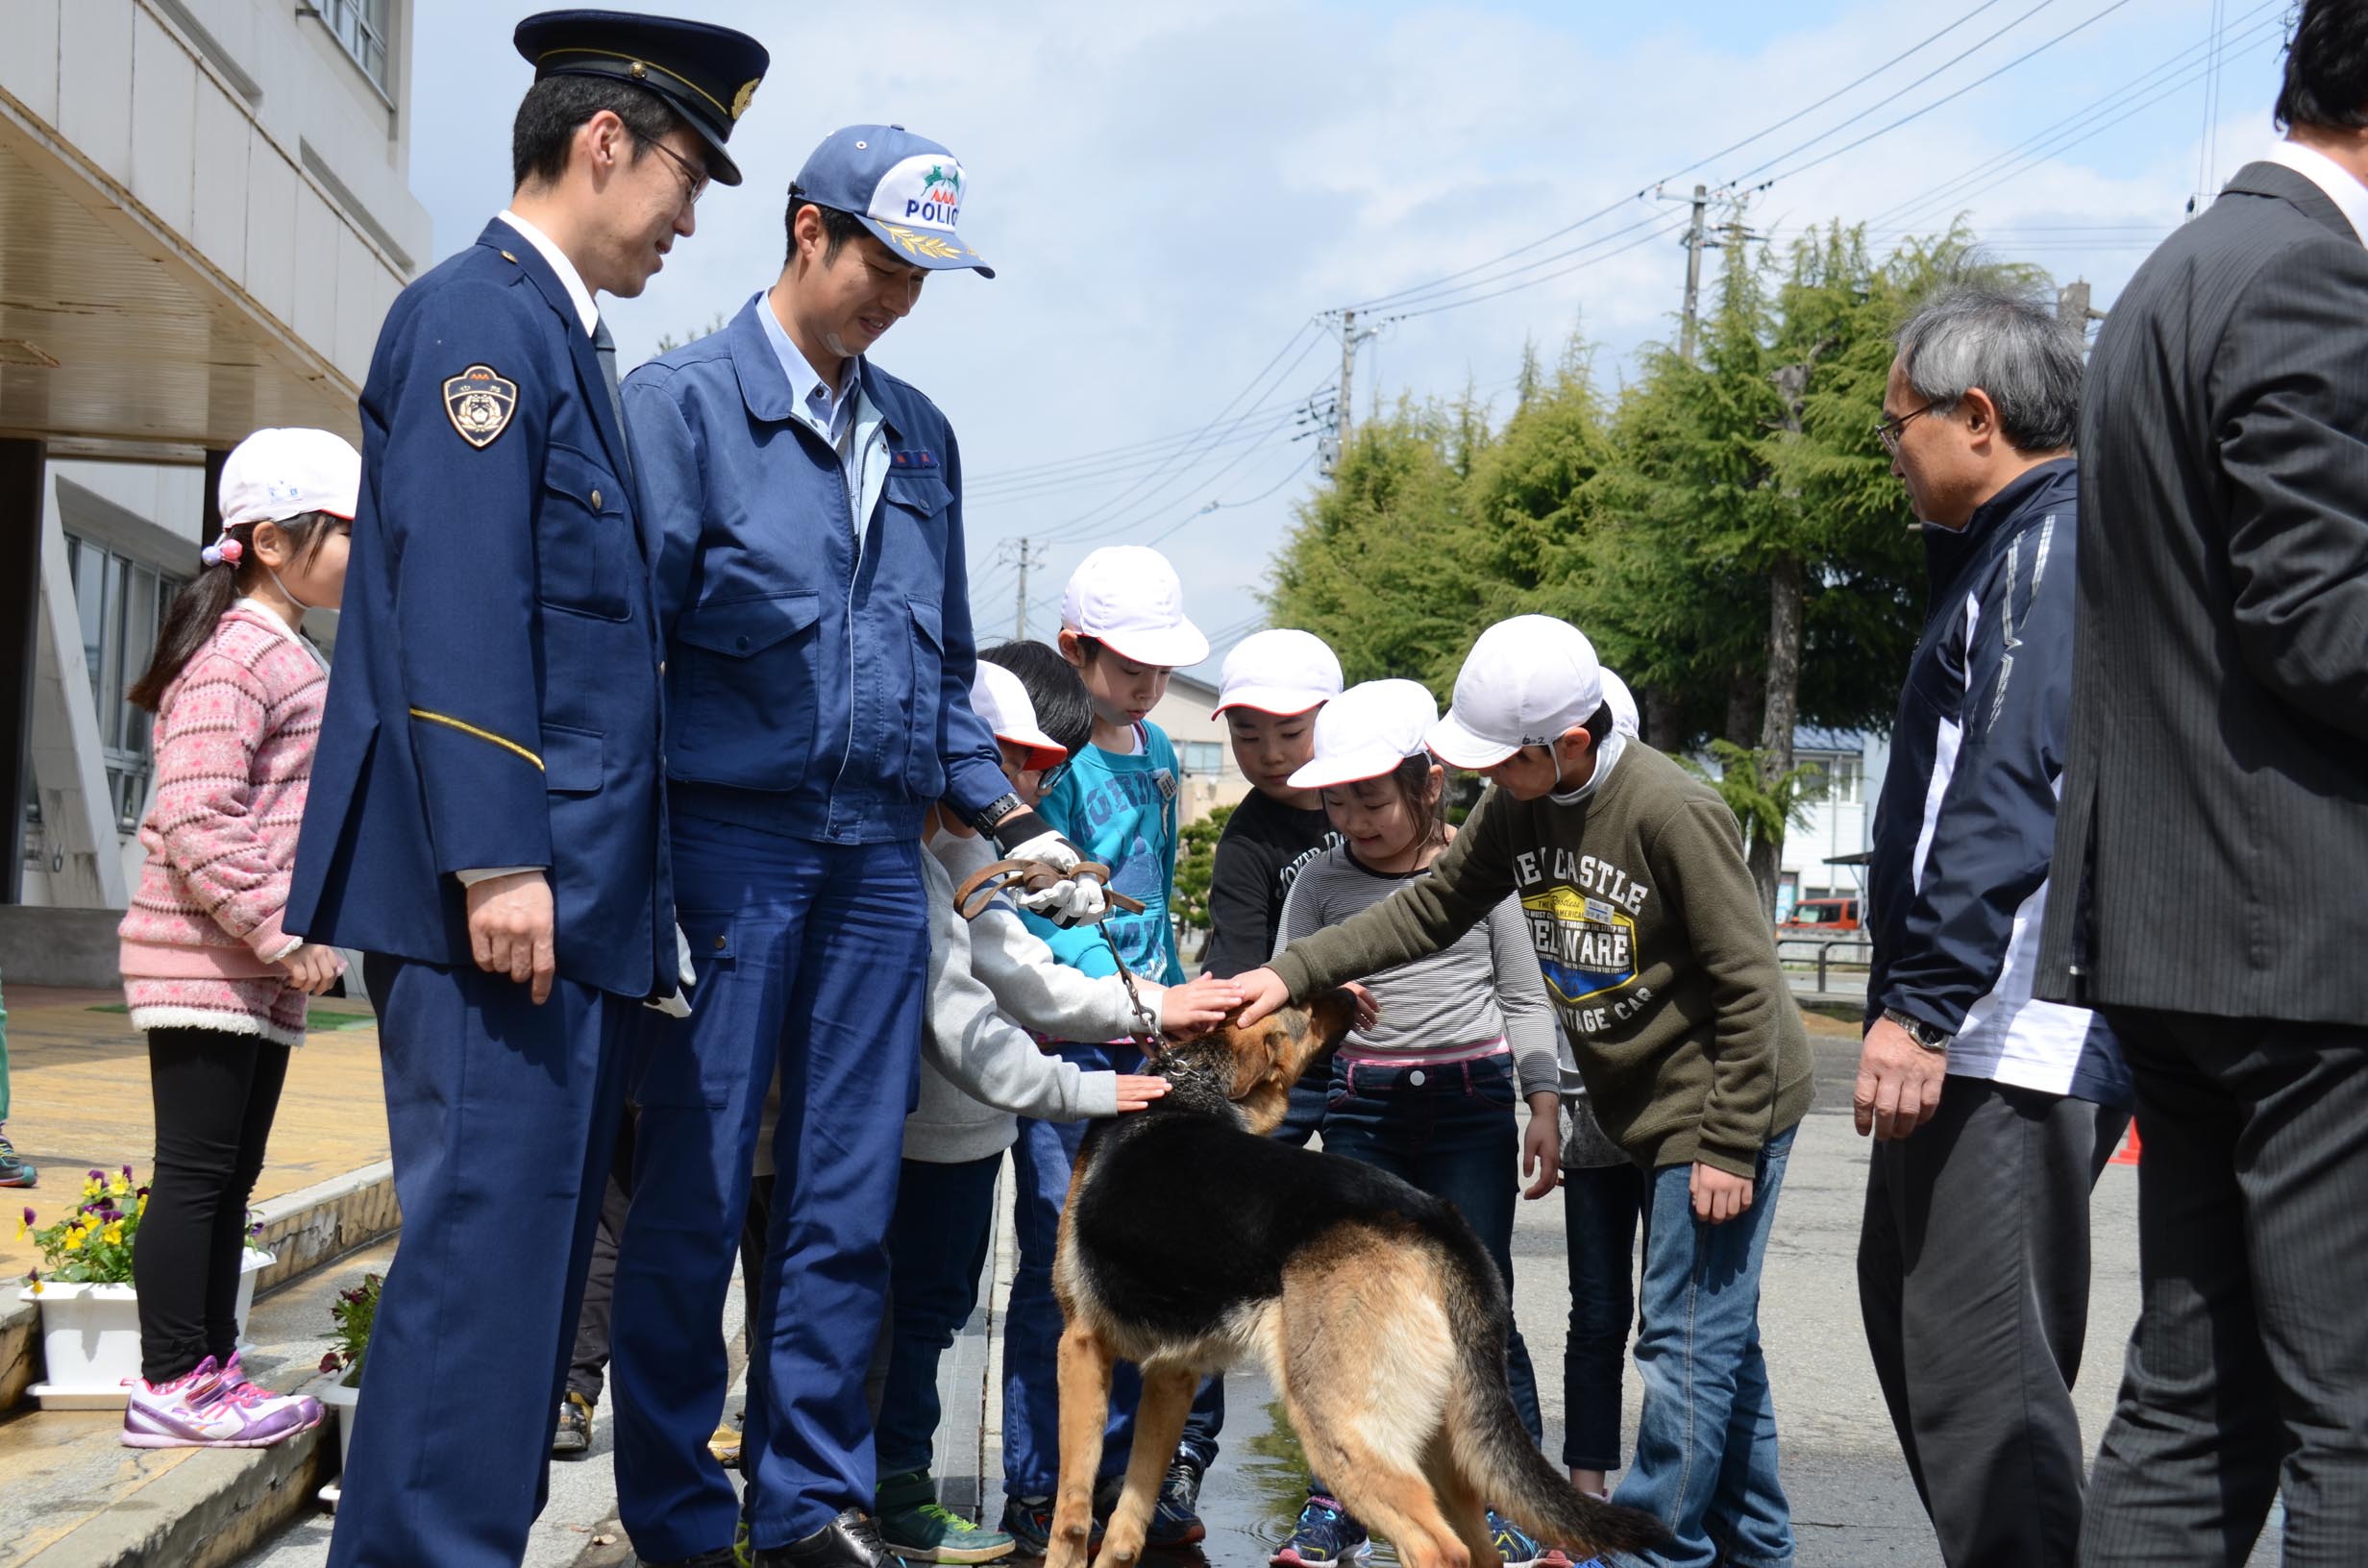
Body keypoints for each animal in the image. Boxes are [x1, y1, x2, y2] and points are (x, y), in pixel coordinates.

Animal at [1055, 994, 1666, 1568]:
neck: (1191, 1083)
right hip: (1443, 1448)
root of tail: (1438, 1224)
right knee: (1480, 1550)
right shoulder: (1172, 1376)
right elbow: (1127, 1521)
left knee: (1437, 1548)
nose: (1353, 994)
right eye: (1303, 1005)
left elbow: (1073, 1511)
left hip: (1336, 1429)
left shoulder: (1080, 1347)